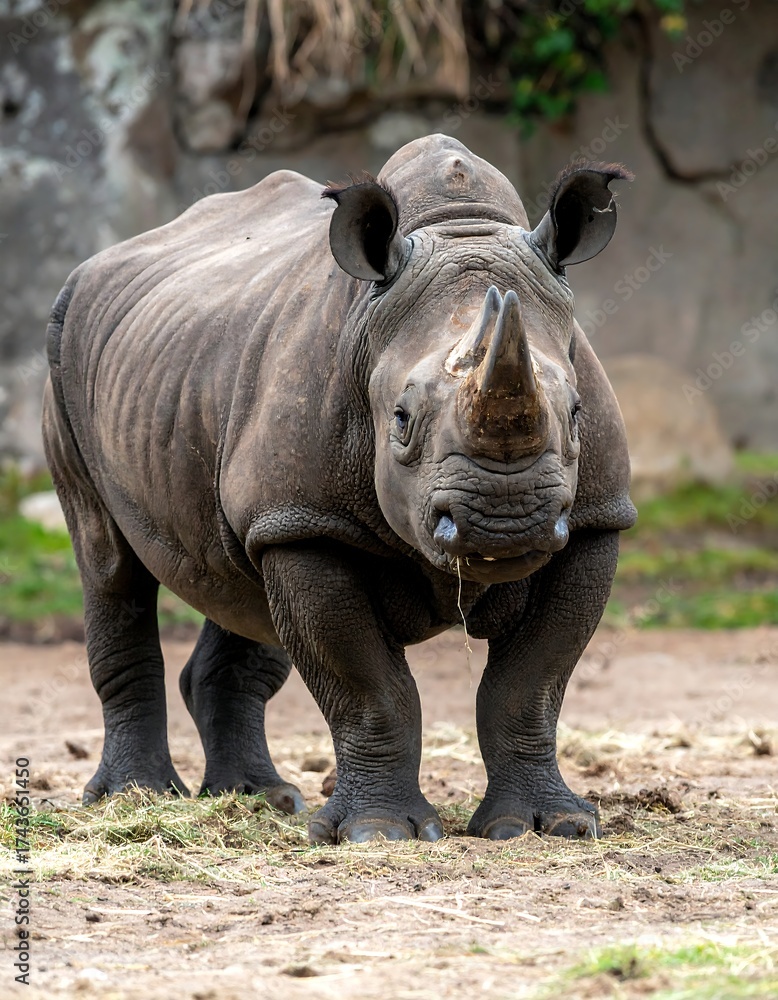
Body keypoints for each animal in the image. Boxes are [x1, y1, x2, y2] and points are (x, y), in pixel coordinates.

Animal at [43, 134, 635, 844]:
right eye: (400, 420)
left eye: (574, 413)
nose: (506, 522)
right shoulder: (310, 525)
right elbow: (368, 687)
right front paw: (378, 833)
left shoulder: (594, 518)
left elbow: (530, 684)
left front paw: (549, 826)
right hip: (62, 348)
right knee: (109, 563)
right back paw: (136, 799)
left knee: (240, 581)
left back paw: (258, 799)